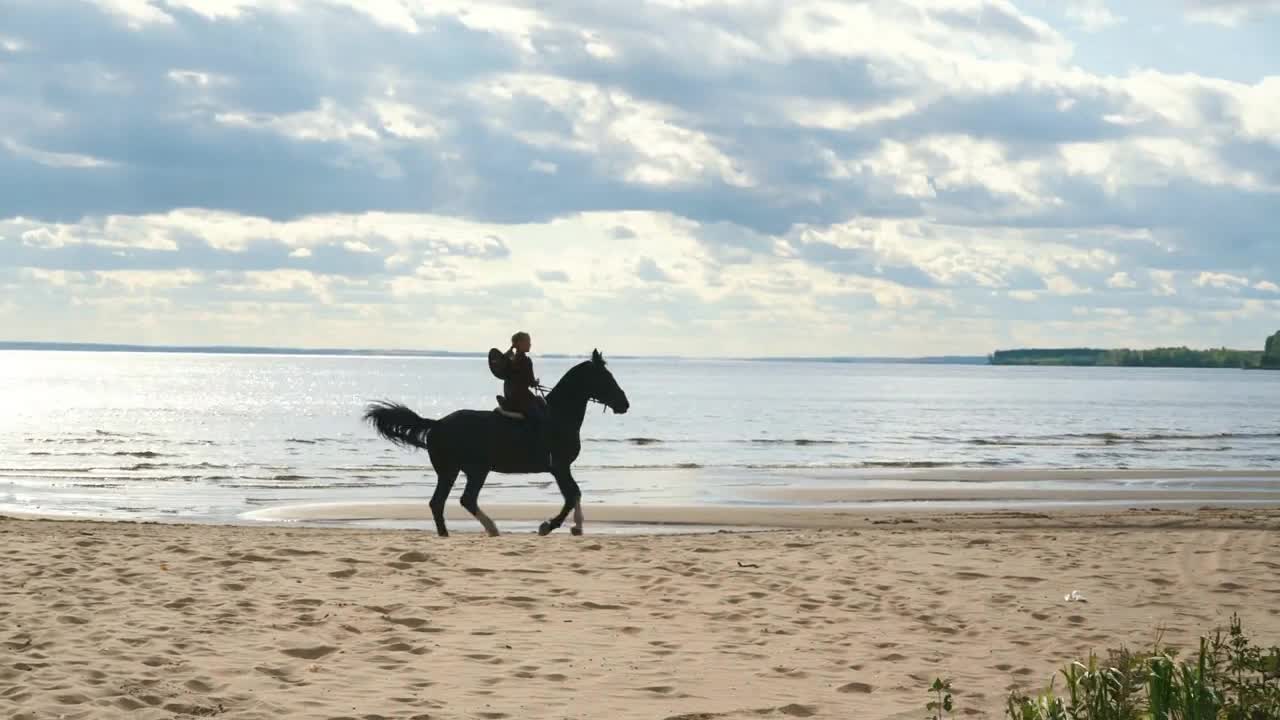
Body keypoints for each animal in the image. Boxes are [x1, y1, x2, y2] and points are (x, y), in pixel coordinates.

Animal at [363, 351, 627, 535]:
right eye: (605, 378)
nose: (625, 404)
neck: (559, 415)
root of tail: (436, 423)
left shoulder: (563, 468)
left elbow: (575, 494)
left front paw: (577, 527)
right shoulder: (559, 467)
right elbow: (572, 495)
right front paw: (549, 526)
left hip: (458, 471)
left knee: (442, 502)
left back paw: (453, 533)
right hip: (468, 470)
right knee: (460, 500)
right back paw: (489, 528)